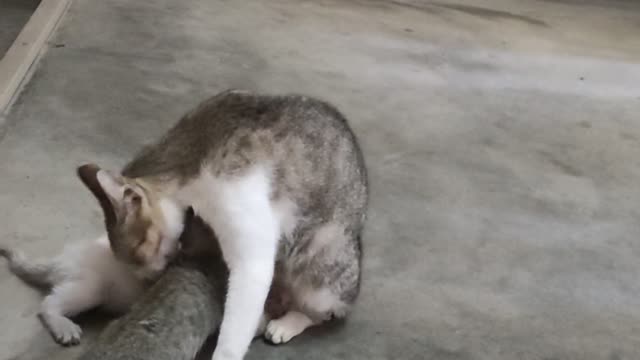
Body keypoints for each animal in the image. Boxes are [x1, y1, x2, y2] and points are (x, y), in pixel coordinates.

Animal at [79, 88, 368, 358]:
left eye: (140, 250)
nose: (151, 277)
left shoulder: (249, 240)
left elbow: (234, 330)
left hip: (321, 261)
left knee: (323, 311)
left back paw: (287, 323)